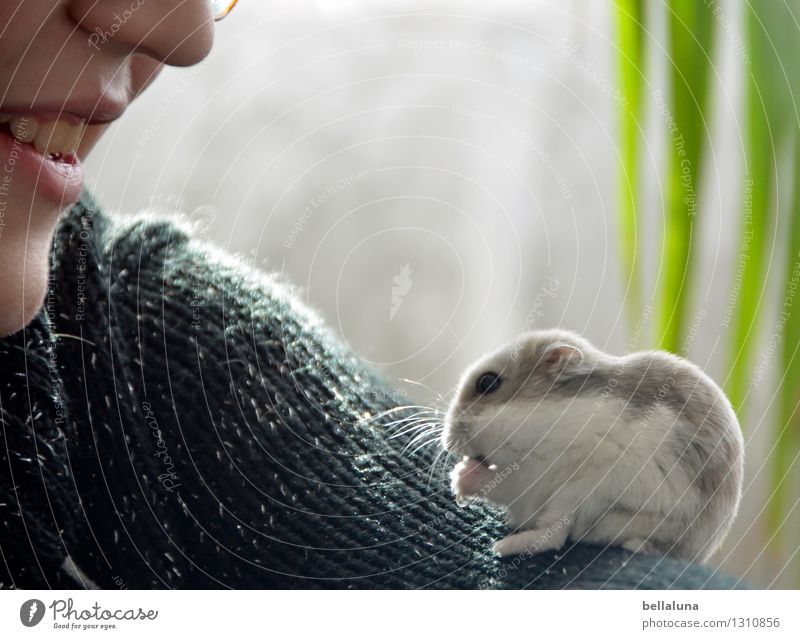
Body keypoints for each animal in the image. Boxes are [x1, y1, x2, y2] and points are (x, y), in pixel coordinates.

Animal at [440, 328, 740, 564]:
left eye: (487, 382)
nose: (446, 440)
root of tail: (695, 552)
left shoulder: (535, 475)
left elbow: (503, 483)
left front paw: (460, 479)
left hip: (583, 494)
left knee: (554, 535)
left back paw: (501, 548)